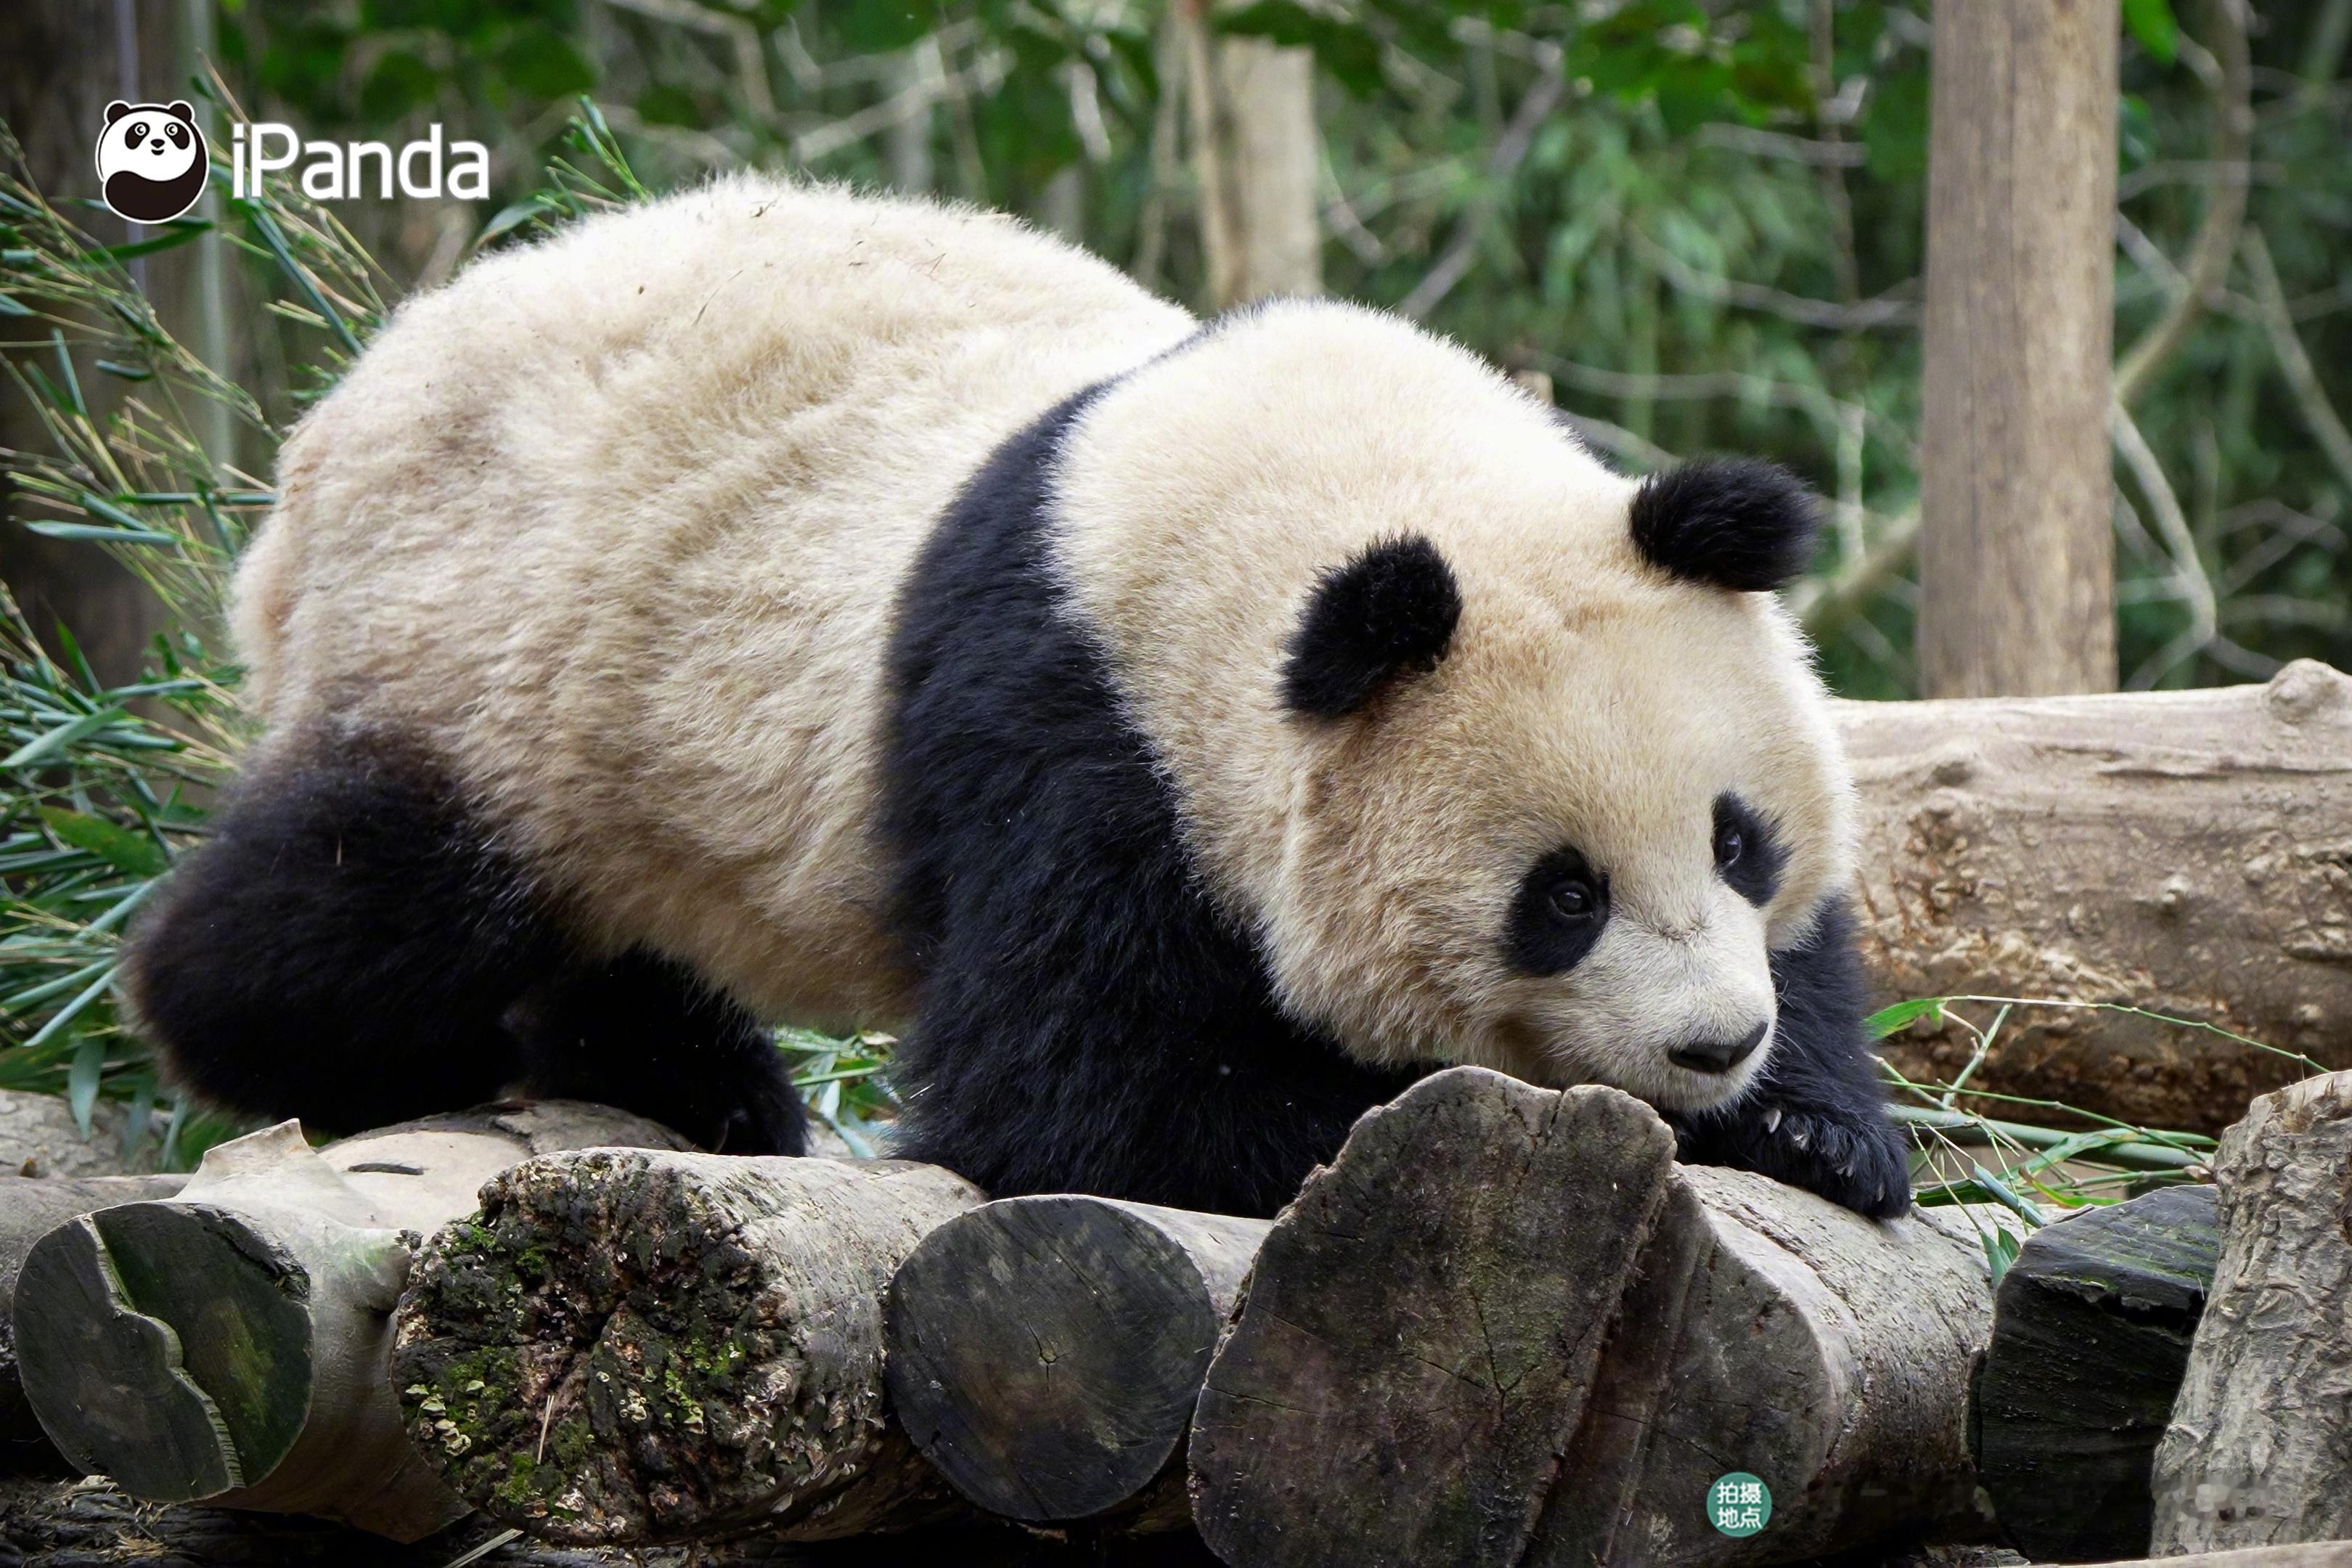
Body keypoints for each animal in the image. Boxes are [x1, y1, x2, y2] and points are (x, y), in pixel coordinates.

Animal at [123, 175, 1909, 1222]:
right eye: (1560, 897)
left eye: (1740, 842)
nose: (1711, 1045)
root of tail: (324, 433)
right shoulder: (1077, 736)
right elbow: (1076, 1094)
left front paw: (1815, 1125)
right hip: (479, 654)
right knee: (362, 897)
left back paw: (683, 1074)